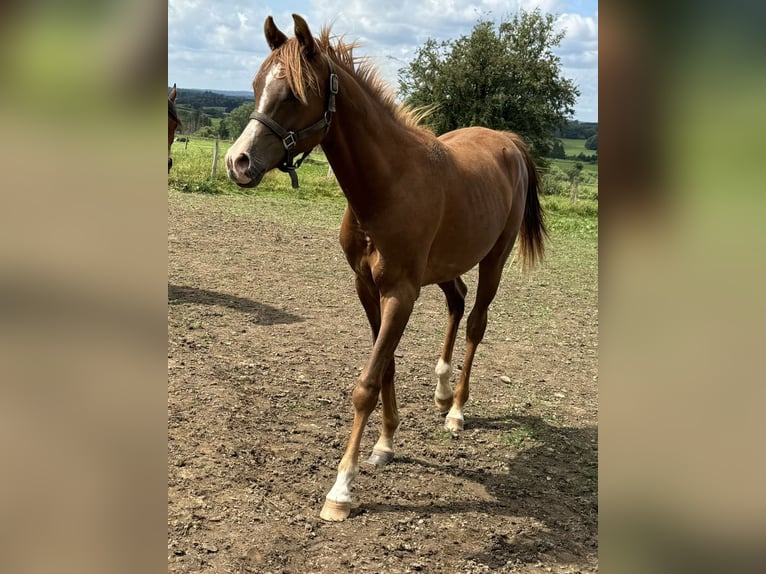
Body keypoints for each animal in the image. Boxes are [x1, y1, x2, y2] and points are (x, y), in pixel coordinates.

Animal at [225, 15, 548, 524]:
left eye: (294, 93)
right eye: (256, 86)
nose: (237, 162)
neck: (387, 186)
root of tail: (508, 142)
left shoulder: (401, 292)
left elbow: (368, 382)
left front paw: (341, 488)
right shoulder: (367, 287)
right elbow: (388, 366)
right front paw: (386, 443)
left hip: (492, 261)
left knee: (476, 322)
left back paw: (456, 410)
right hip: (444, 267)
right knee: (457, 304)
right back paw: (440, 392)